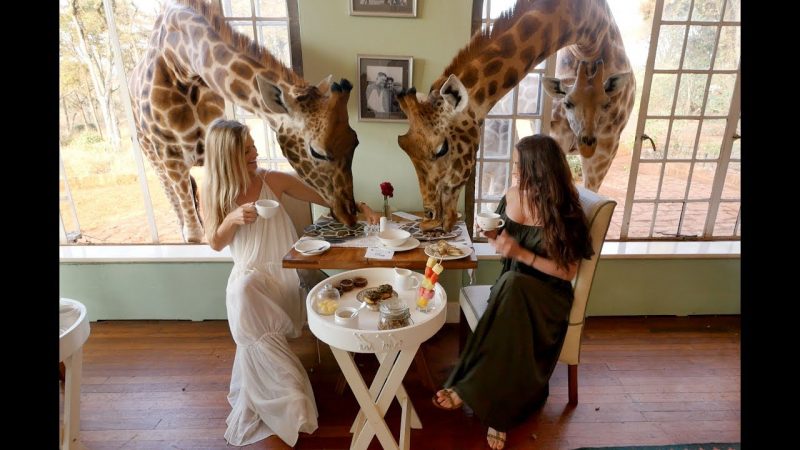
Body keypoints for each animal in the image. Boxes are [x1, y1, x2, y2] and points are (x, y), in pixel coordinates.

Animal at [130, 0, 360, 243]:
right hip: (155, 158)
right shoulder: (171, 158)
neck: (182, 63)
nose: (349, 215)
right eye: (317, 152)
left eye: (355, 142)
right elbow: (194, 234)